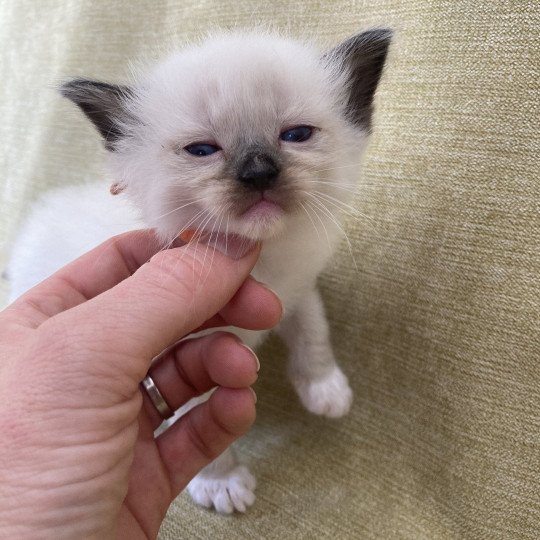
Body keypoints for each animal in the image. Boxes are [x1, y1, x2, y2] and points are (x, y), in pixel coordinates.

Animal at [5, 29, 392, 516]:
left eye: (297, 135)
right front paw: (221, 483)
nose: (258, 172)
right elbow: (195, 416)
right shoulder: (173, 352)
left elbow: (313, 333)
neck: (263, 262)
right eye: (202, 150)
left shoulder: (297, 289)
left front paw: (325, 390)